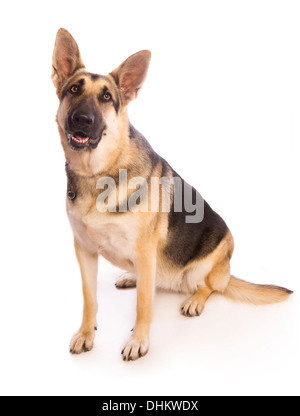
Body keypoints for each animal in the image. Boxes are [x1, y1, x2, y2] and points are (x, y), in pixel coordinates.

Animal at [51, 29, 292, 360]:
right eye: (74, 89)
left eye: (106, 97)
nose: (82, 120)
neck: (100, 171)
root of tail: (227, 271)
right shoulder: (84, 250)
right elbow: (90, 298)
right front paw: (86, 334)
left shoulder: (142, 251)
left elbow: (143, 305)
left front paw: (138, 341)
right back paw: (133, 277)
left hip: (211, 259)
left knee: (209, 286)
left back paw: (194, 299)